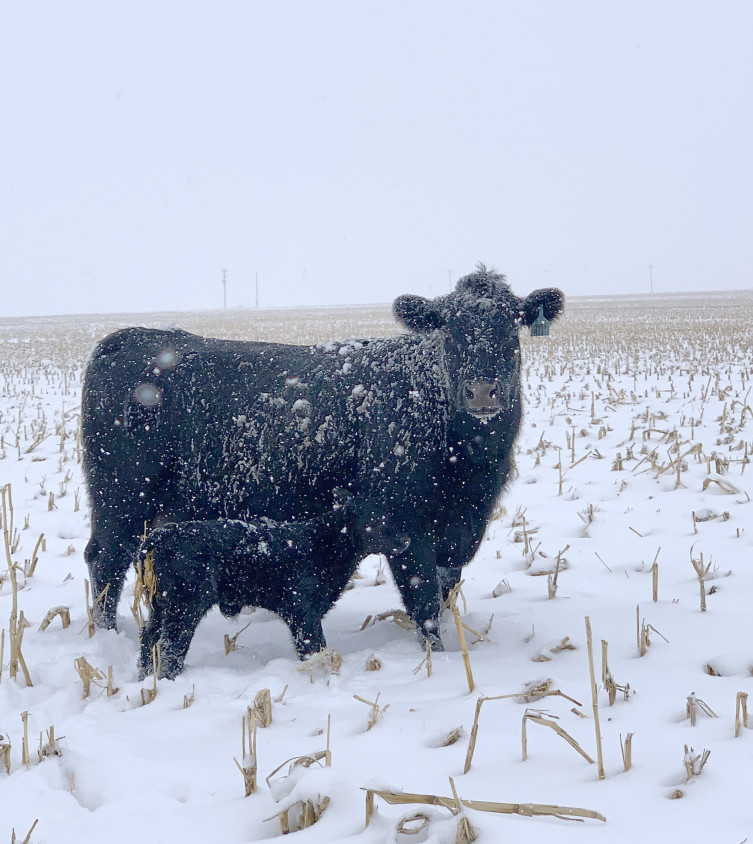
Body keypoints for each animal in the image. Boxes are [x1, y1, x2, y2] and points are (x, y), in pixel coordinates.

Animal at [81, 265, 564, 649]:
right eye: (447, 329)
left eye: (513, 326)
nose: (481, 391)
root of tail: (127, 338)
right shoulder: (404, 530)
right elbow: (425, 606)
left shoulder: (459, 532)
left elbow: (444, 596)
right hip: (121, 499)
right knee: (105, 561)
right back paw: (108, 639)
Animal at [137, 496, 410, 679]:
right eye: (376, 521)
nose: (406, 540)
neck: (323, 545)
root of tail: (161, 536)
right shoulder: (303, 612)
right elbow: (314, 649)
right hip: (184, 608)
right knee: (170, 648)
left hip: (159, 608)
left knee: (148, 641)